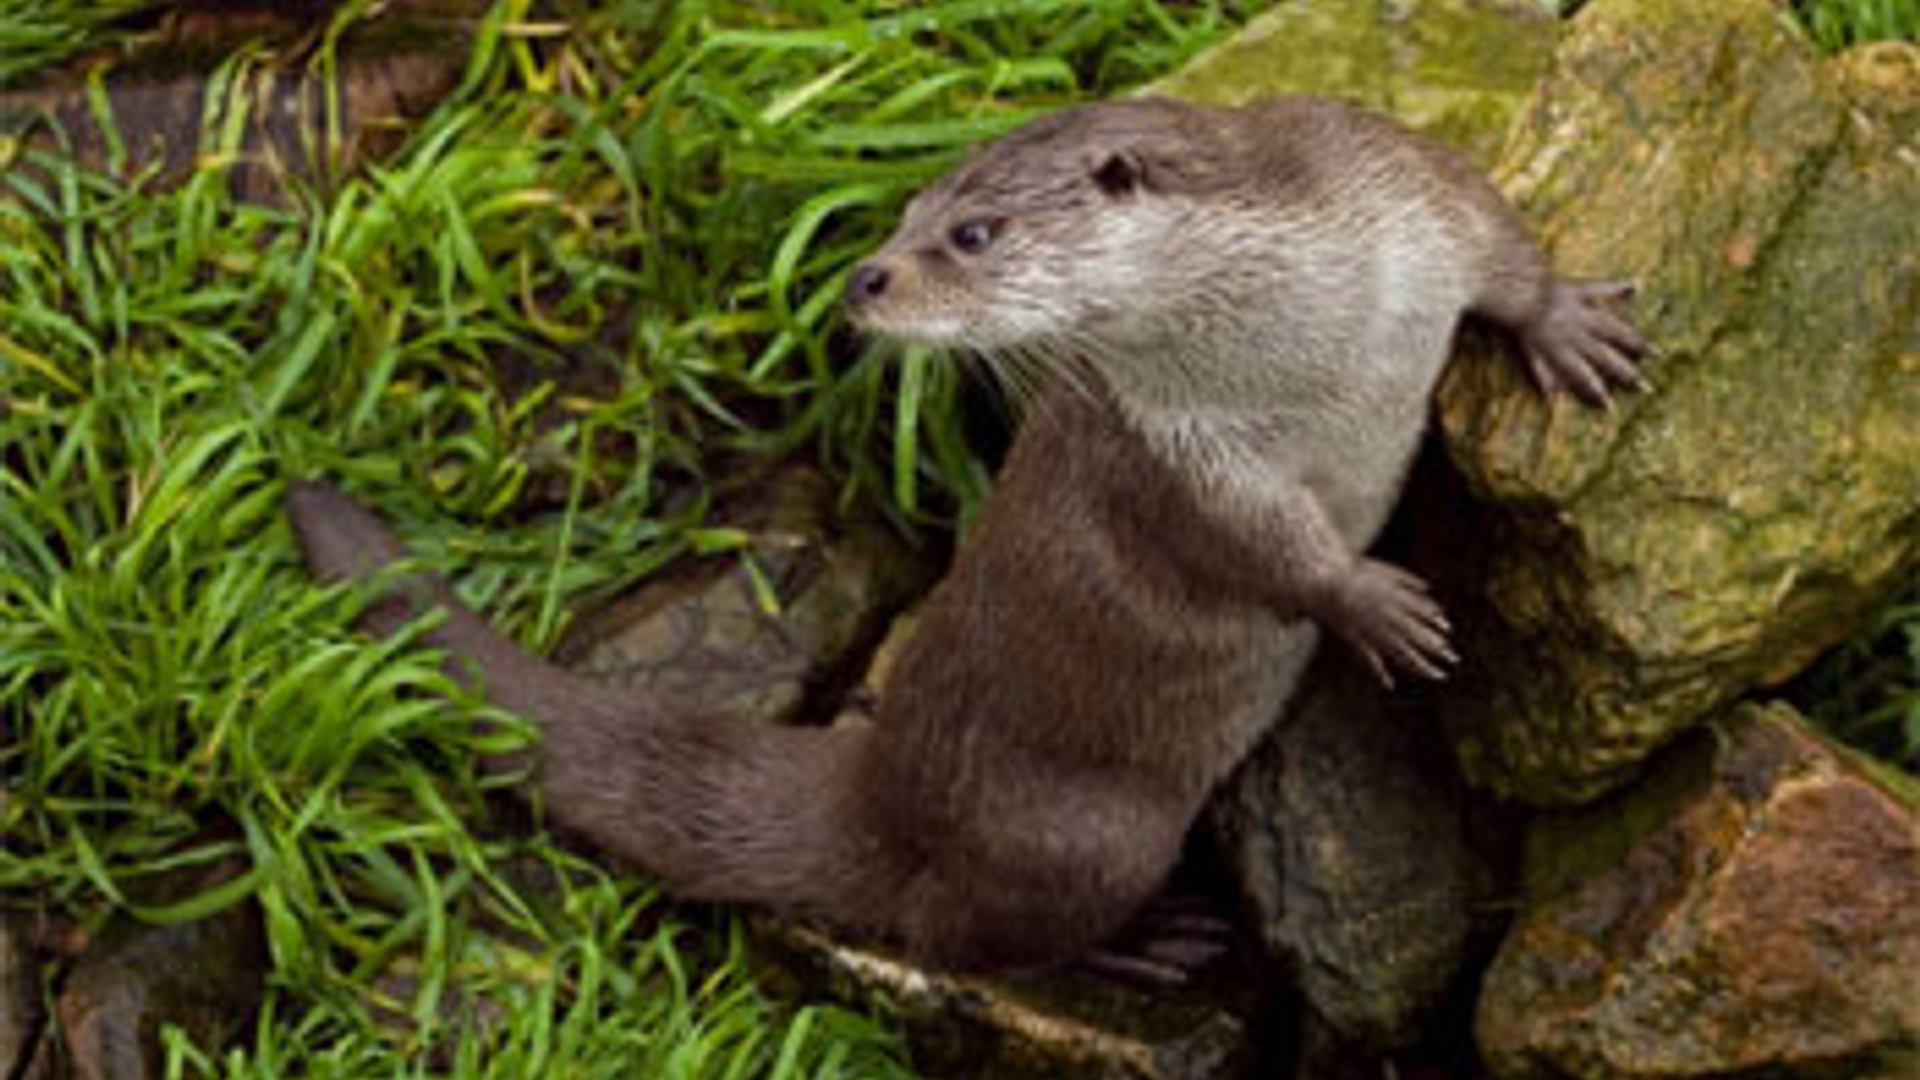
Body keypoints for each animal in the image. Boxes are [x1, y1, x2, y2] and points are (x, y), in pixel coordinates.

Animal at [287, 96, 1648, 976]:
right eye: (902, 217)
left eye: (970, 234)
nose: (861, 280)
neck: (1306, 342)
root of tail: (884, 789)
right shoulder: (1177, 453)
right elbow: (1260, 551)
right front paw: (1374, 604)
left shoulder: (1404, 199)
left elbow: (1498, 238)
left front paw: (1568, 323)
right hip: (1091, 830)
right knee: (968, 937)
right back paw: (1150, 945)